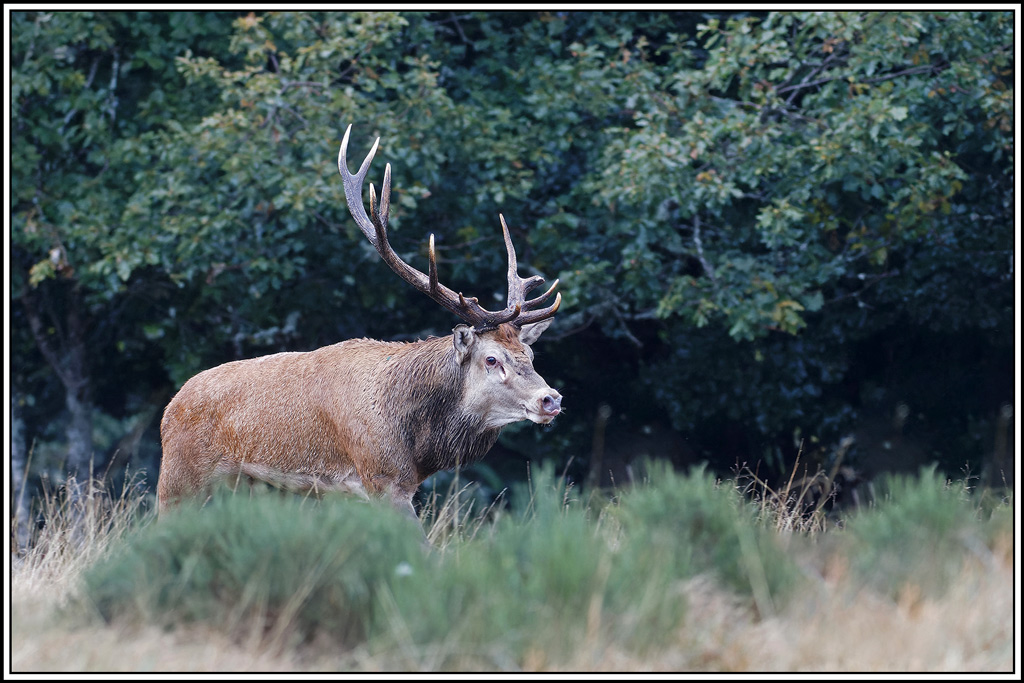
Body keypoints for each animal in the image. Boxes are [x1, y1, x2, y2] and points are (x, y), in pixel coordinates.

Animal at [156, 124, 563, 522]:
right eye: (491, 359)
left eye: (530, 354)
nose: (551, 398)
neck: (417, 446)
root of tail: (169, 408)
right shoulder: (381, 475)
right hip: (178, 478)